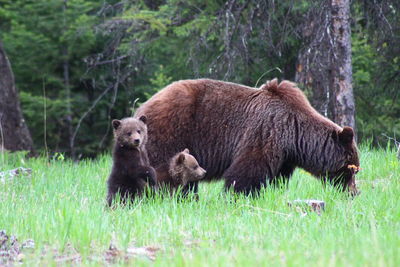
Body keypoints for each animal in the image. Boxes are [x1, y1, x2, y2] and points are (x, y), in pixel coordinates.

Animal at [136, 78, 360, 196]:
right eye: (352, 169)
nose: (354, 193)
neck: (296, 135)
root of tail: (143, 106)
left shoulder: (285, 155)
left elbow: (278, 177)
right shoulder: (266, 132)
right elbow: (247, 171)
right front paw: (237, 196)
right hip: (172, 131)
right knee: (162, 168)